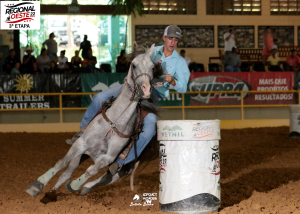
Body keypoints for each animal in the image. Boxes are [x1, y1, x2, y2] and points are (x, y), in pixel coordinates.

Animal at [25, 43, 156, 197]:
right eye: (134, 65)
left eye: (153, 67)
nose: (146, 90)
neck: (114, 123)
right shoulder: (80, 144)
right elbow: (61, 163)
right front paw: (38, 184)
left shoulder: (107, 158)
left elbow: (91, 171)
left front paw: (74, 185)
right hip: (83, 153)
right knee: (67, 172)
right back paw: (53, 191)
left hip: (124, 167)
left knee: (107, 177)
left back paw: (85, 187)